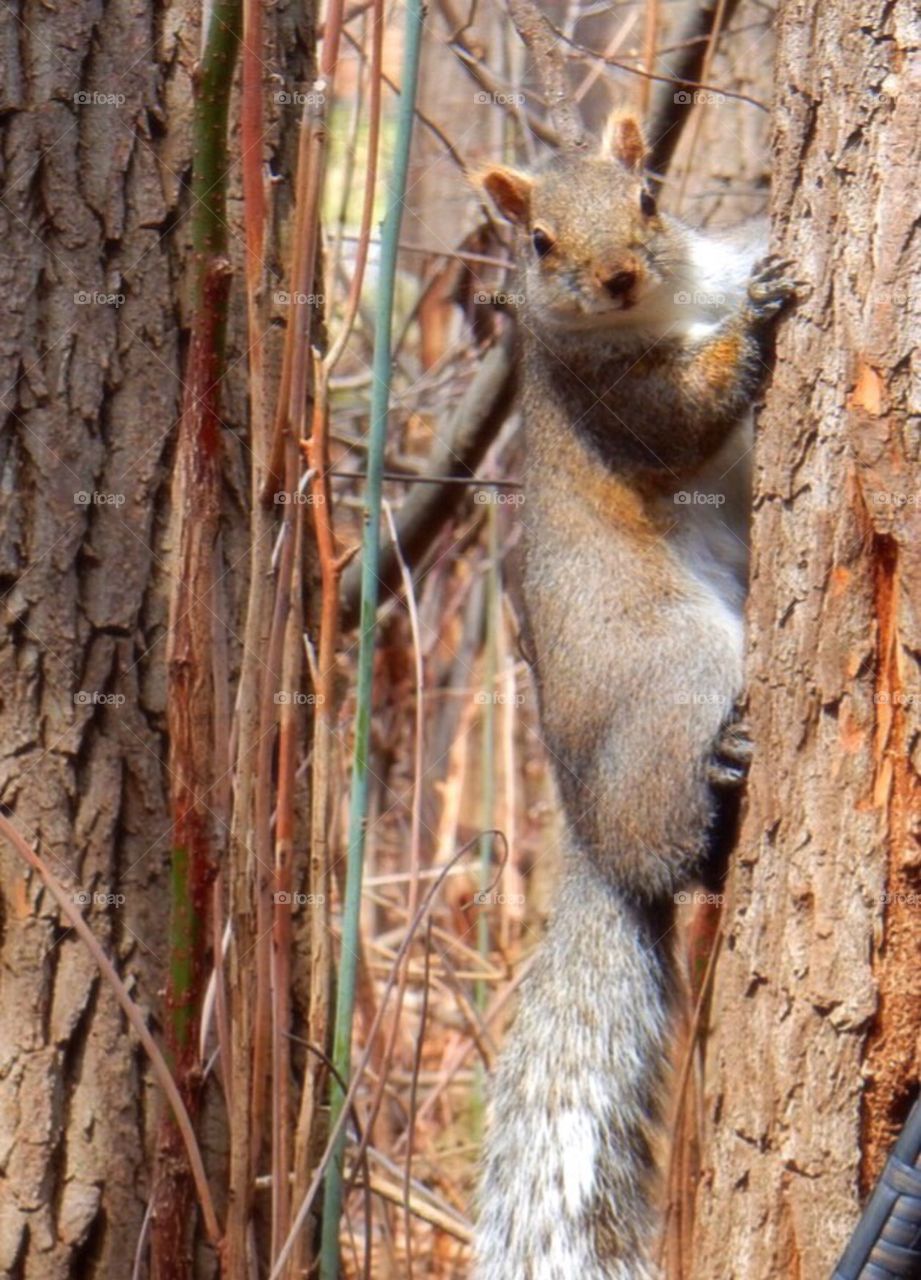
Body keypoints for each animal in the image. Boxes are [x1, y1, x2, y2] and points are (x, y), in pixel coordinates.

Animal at [470, 113, 796, 1279]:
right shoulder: (610, 398)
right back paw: (722, 774)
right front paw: (755, 321)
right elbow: (686, 416)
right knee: (675, 853)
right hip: (676, 670)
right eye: (537, 243)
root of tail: (588, 829)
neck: (667, 305)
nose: (615, 276)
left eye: (649, 195)